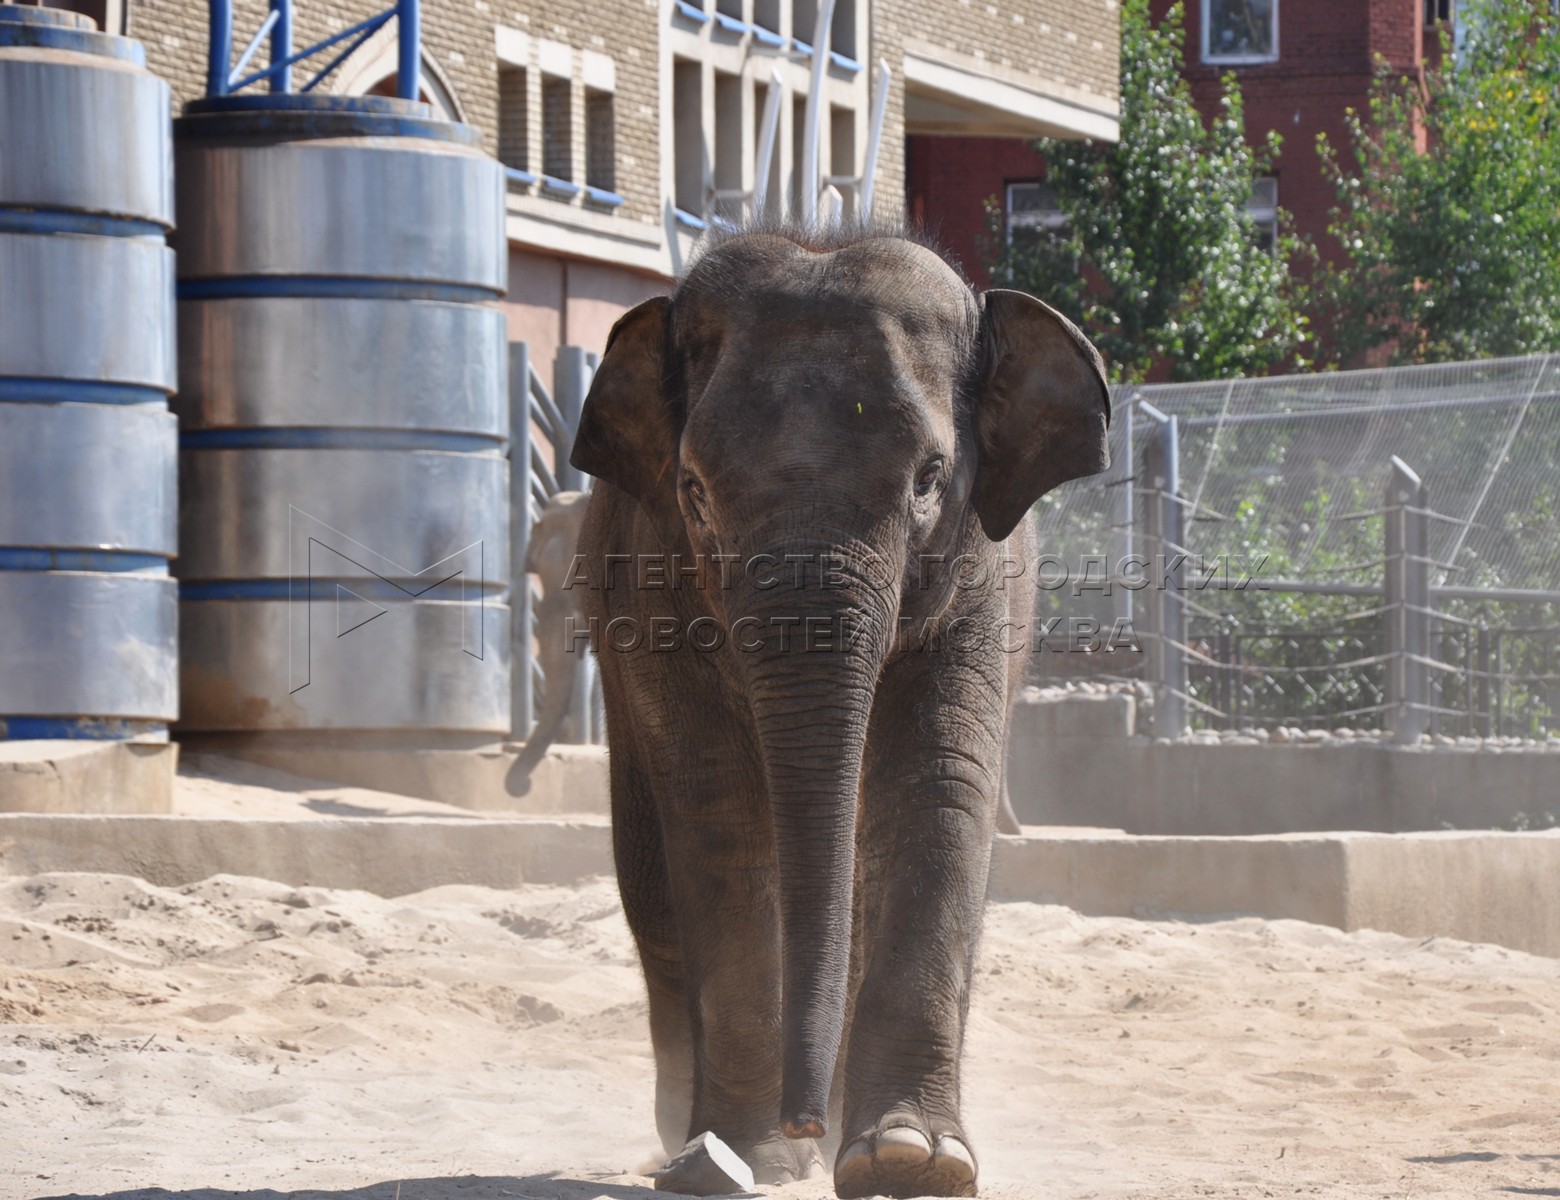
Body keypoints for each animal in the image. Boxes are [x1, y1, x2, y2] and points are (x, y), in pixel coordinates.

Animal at [564, 221, 1110, 1185]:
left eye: (930, 477)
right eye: (694, 488)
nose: (805, 1122)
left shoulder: (982, 584)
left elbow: (937, 789)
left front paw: (909, 1159)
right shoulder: (649, 584)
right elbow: (718, 811)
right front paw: (746, 1156)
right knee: (653, 883)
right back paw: (687, 1136)